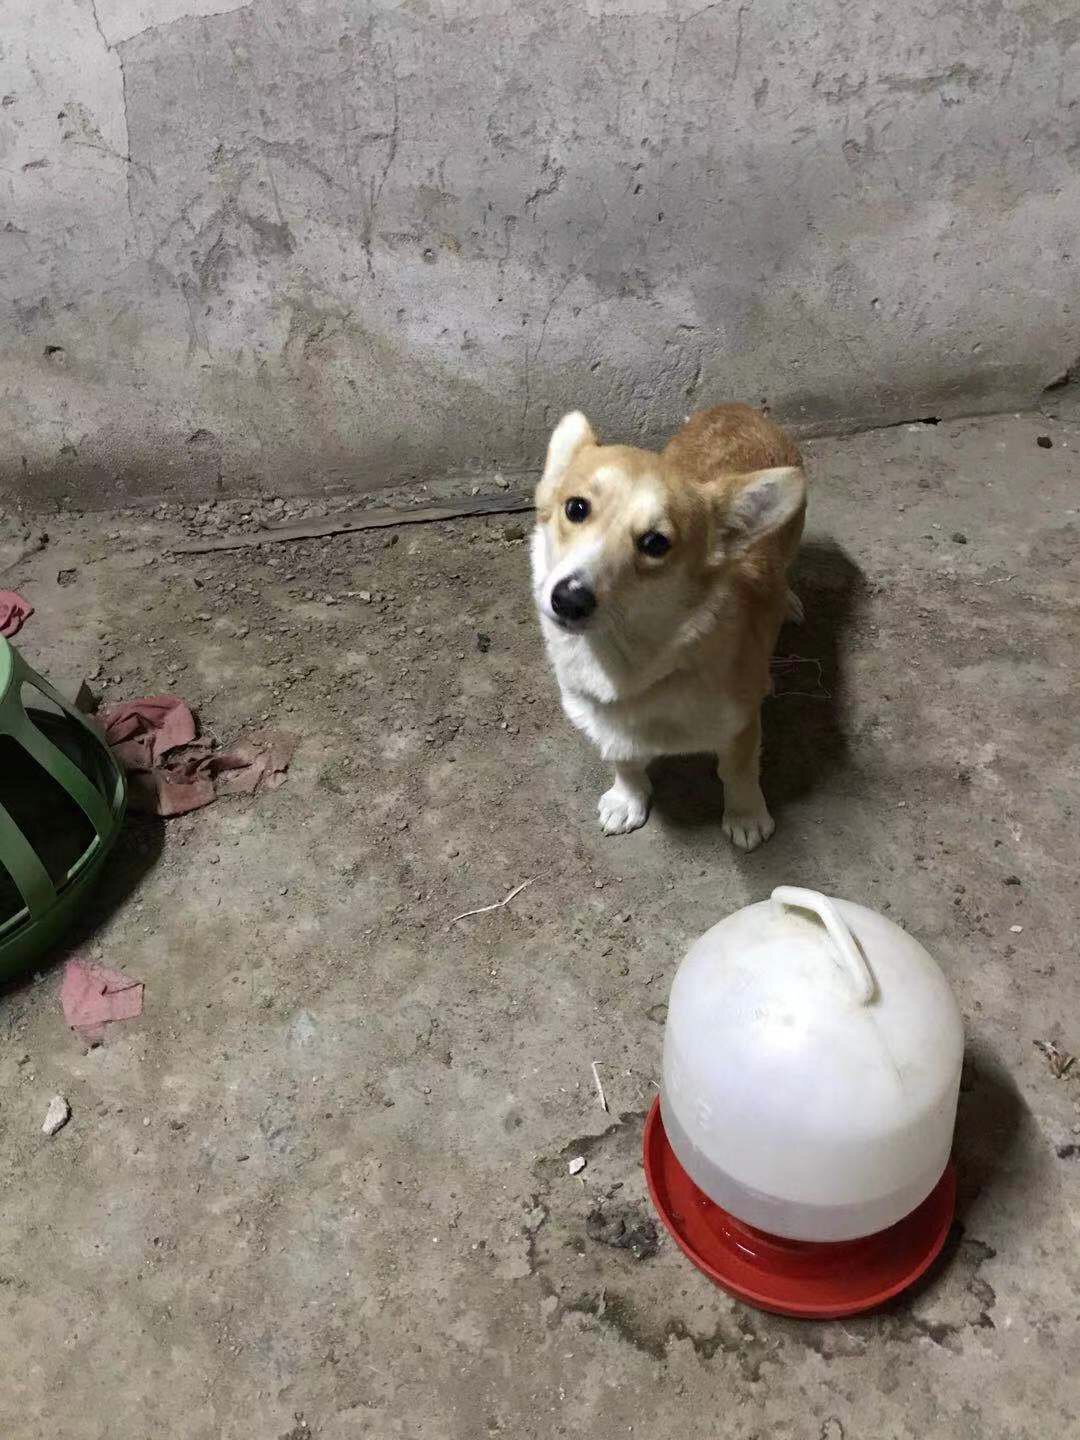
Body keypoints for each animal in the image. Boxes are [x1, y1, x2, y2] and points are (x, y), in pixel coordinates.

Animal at [531, 403, 806, 848]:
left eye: (655, 543)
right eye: (576, 508)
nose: (569, 599)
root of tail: (738, 408)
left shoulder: (741, 725)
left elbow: (738, 773)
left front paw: (747, 817)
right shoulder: (609, 729)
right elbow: (624, 761)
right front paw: (627, 799)